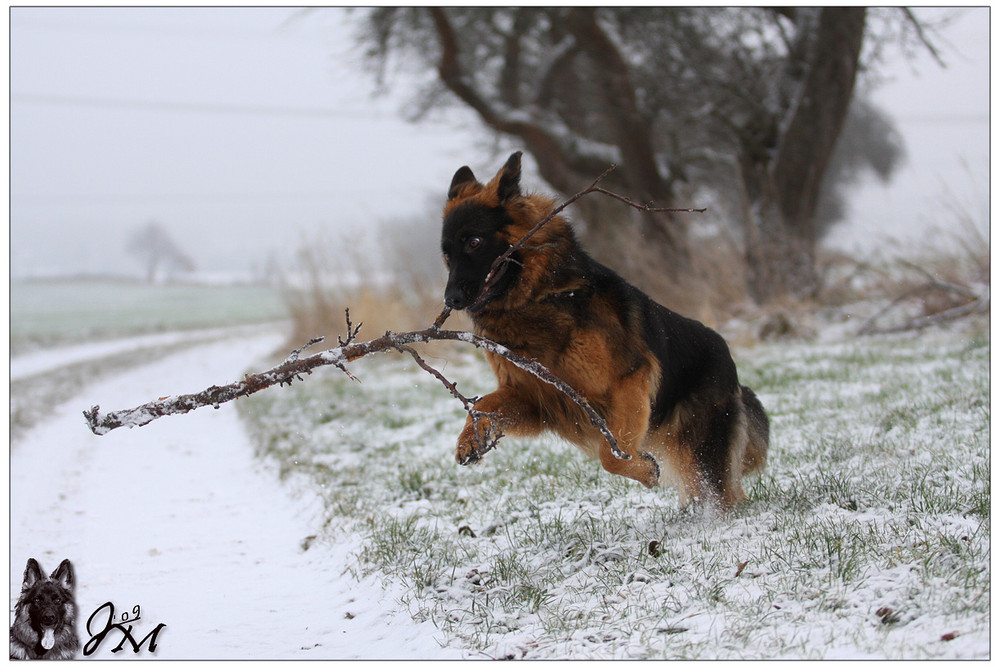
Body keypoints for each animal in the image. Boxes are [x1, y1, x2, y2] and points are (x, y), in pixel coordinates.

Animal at [442, 151, 768, 508]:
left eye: (474, 242)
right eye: (446, 253)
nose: (450, 299)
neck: (540, 298)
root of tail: (730, 362)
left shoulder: (627, 382)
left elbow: (610, 456)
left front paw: (644, 470)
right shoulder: (534, 394)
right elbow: (482, 404)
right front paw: (471, 438)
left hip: (702, 449)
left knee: (724, 493)